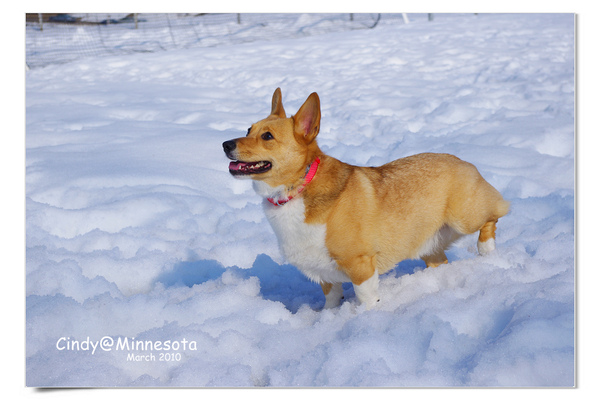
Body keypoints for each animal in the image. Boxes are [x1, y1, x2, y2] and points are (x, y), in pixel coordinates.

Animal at [223, 88, 508, 310]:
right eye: (248, 129)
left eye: (267, 136)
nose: (225, 144)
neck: (299, 185)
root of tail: (463, 160)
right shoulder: (325, 274)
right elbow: (331, 299)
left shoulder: (360, 264)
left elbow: (366, 297)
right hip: (429, 244)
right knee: (440, 260)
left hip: (465, 217)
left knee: (497, 213)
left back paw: (487, 250)